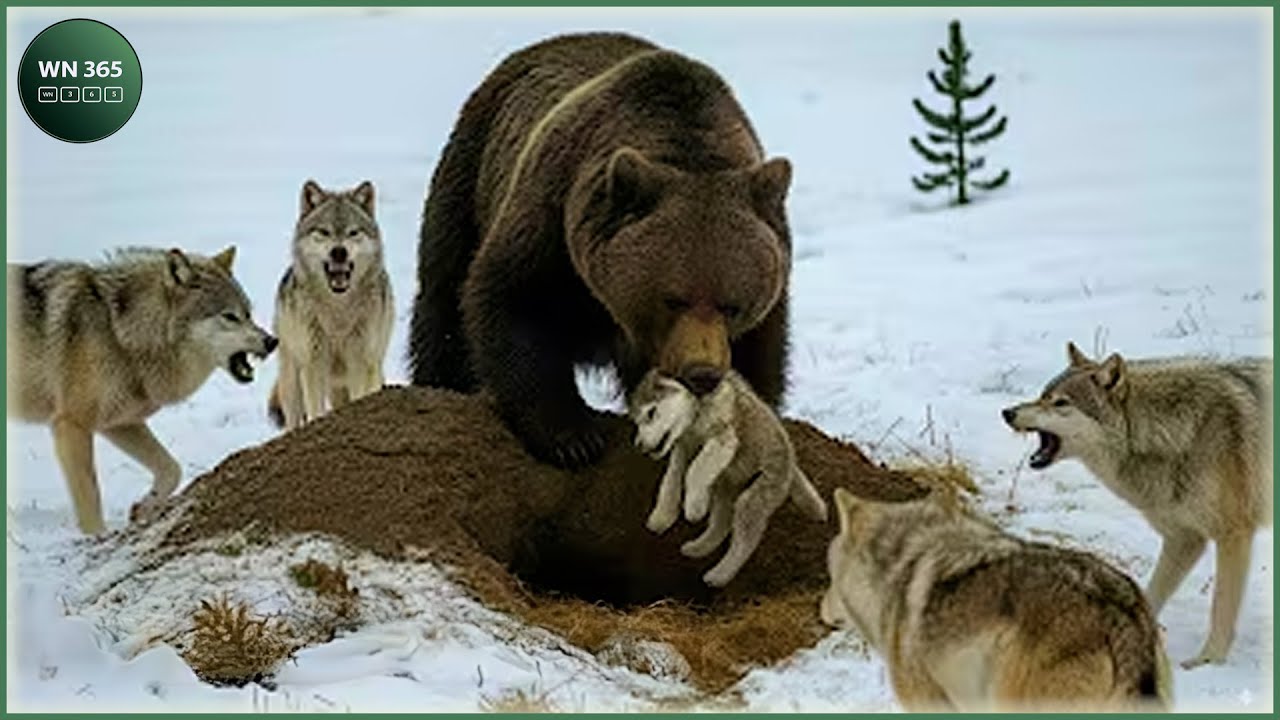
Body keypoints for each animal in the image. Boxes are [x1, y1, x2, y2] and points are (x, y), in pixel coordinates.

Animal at [409, 32, 793, 469]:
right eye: (672, 299)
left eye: (732, 305)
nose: (702, 372)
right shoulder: (555, 216)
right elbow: (515, 301)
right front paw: (572, 438)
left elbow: (758, 355)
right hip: (468, 175)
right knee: (443, 304)